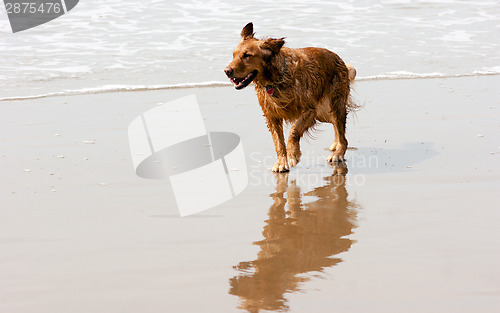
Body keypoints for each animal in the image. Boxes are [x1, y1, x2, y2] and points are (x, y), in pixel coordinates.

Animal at [225, 22, 358, 172]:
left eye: (247, 55)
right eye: (233, 55)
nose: (227, 71)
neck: (275, 79)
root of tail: (339, 59)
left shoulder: (309, 111)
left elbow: (294, 130)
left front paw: (293, 154)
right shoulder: (272, 117)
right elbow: (278, 142)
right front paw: (281, 162)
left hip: (335, 104)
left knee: (342, 134)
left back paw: (338, 153)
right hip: (323, 112)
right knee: (335, 125)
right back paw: (335, 145)